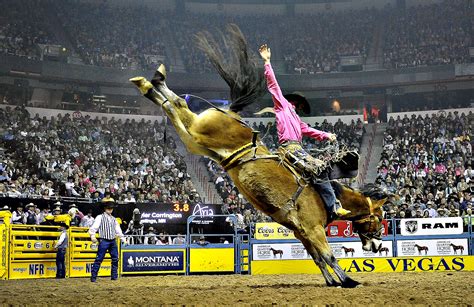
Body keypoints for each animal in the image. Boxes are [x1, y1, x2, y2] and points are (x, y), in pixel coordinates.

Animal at [131, 24, 388, 288]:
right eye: (380, 218)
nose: (378, 246)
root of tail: (230, 112)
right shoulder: (313, 228)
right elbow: (328, 255)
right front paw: (348, 280)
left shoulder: (301, 231)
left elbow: (317, 258)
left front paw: (332, 281)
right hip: (200, 133)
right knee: (179, 108)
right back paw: (150, 82)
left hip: (198, 143)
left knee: (175, 107)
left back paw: (151, 82)